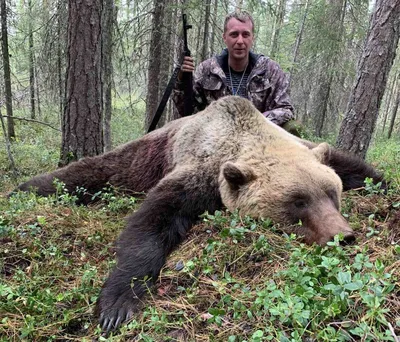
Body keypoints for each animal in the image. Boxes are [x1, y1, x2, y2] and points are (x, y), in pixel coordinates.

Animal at [14, 95, 384, 332]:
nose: (342, 236)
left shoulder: (305, 148)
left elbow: (354, 165)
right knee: (90, 171)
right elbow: (152, 222)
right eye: (298, 202)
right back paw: (24, 187)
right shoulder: (199, 172)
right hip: (143, 156)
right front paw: (117, 304)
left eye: (331, 193)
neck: (242, 133)